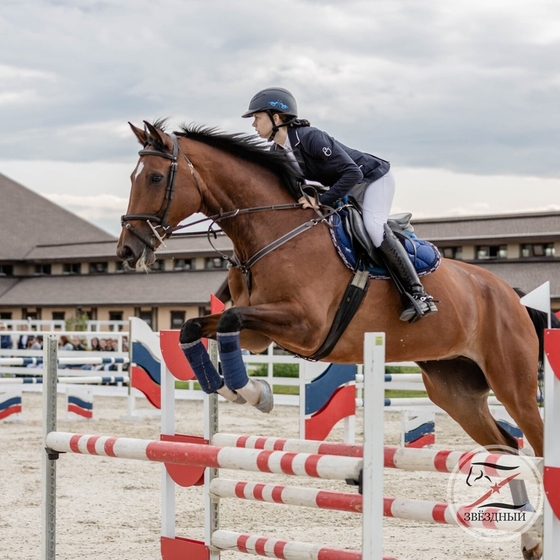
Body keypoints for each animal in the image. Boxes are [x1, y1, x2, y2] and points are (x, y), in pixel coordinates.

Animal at [118, 120, 548, 556]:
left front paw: (250, 392)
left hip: (512, 385)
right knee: (505, 445)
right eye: (135, 178)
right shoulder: (256, 333)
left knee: (537, 442)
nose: (127, 251)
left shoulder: (305, 326)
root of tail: (510, 294)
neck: (273, 230)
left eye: (155, 178)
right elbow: (199, 327)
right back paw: (529, 536)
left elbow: (228, 321)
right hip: (454, 390)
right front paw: (236, 389)